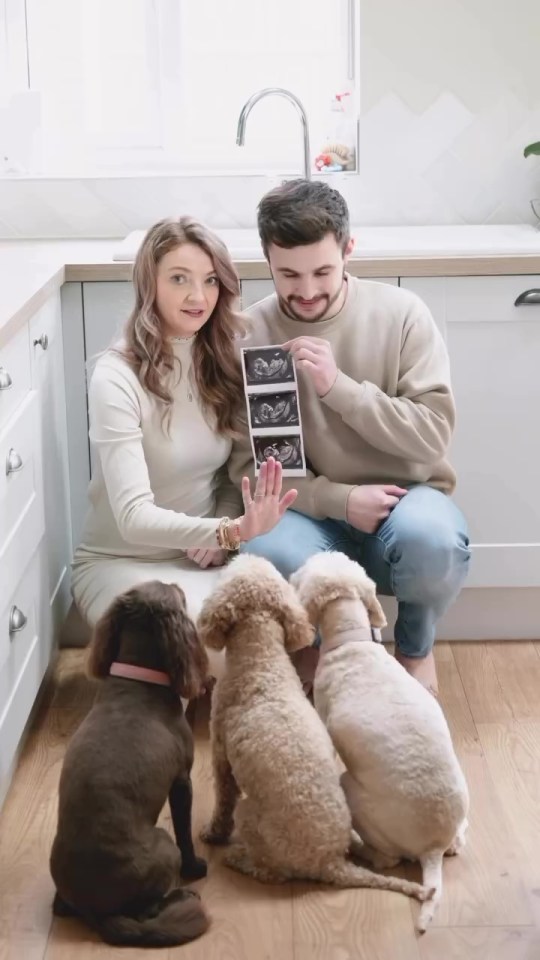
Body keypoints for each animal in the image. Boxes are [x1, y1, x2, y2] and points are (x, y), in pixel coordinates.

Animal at [49, 580, 209, 948]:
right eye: (174, 593)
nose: (177, 582)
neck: (138, 681)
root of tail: (95, 911)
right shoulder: (182, 780)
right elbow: (185, 831)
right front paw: (195, 868)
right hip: (164, 845)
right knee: (148, 908)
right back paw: (185, 895)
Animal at [196, 552, 432, 904]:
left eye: (229, 574)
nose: (238, 554)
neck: (260, 660)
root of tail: (330, 863)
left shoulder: (221, 751)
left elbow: (223, 799)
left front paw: (212, 834)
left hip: (251, 818)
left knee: (271, 871)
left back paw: (239, 858)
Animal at [292, 552, 468, 932]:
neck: (351, 641)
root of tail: (432, 848)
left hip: (354, 793)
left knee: (387, 859)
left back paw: (362, 850)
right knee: (458, 841)